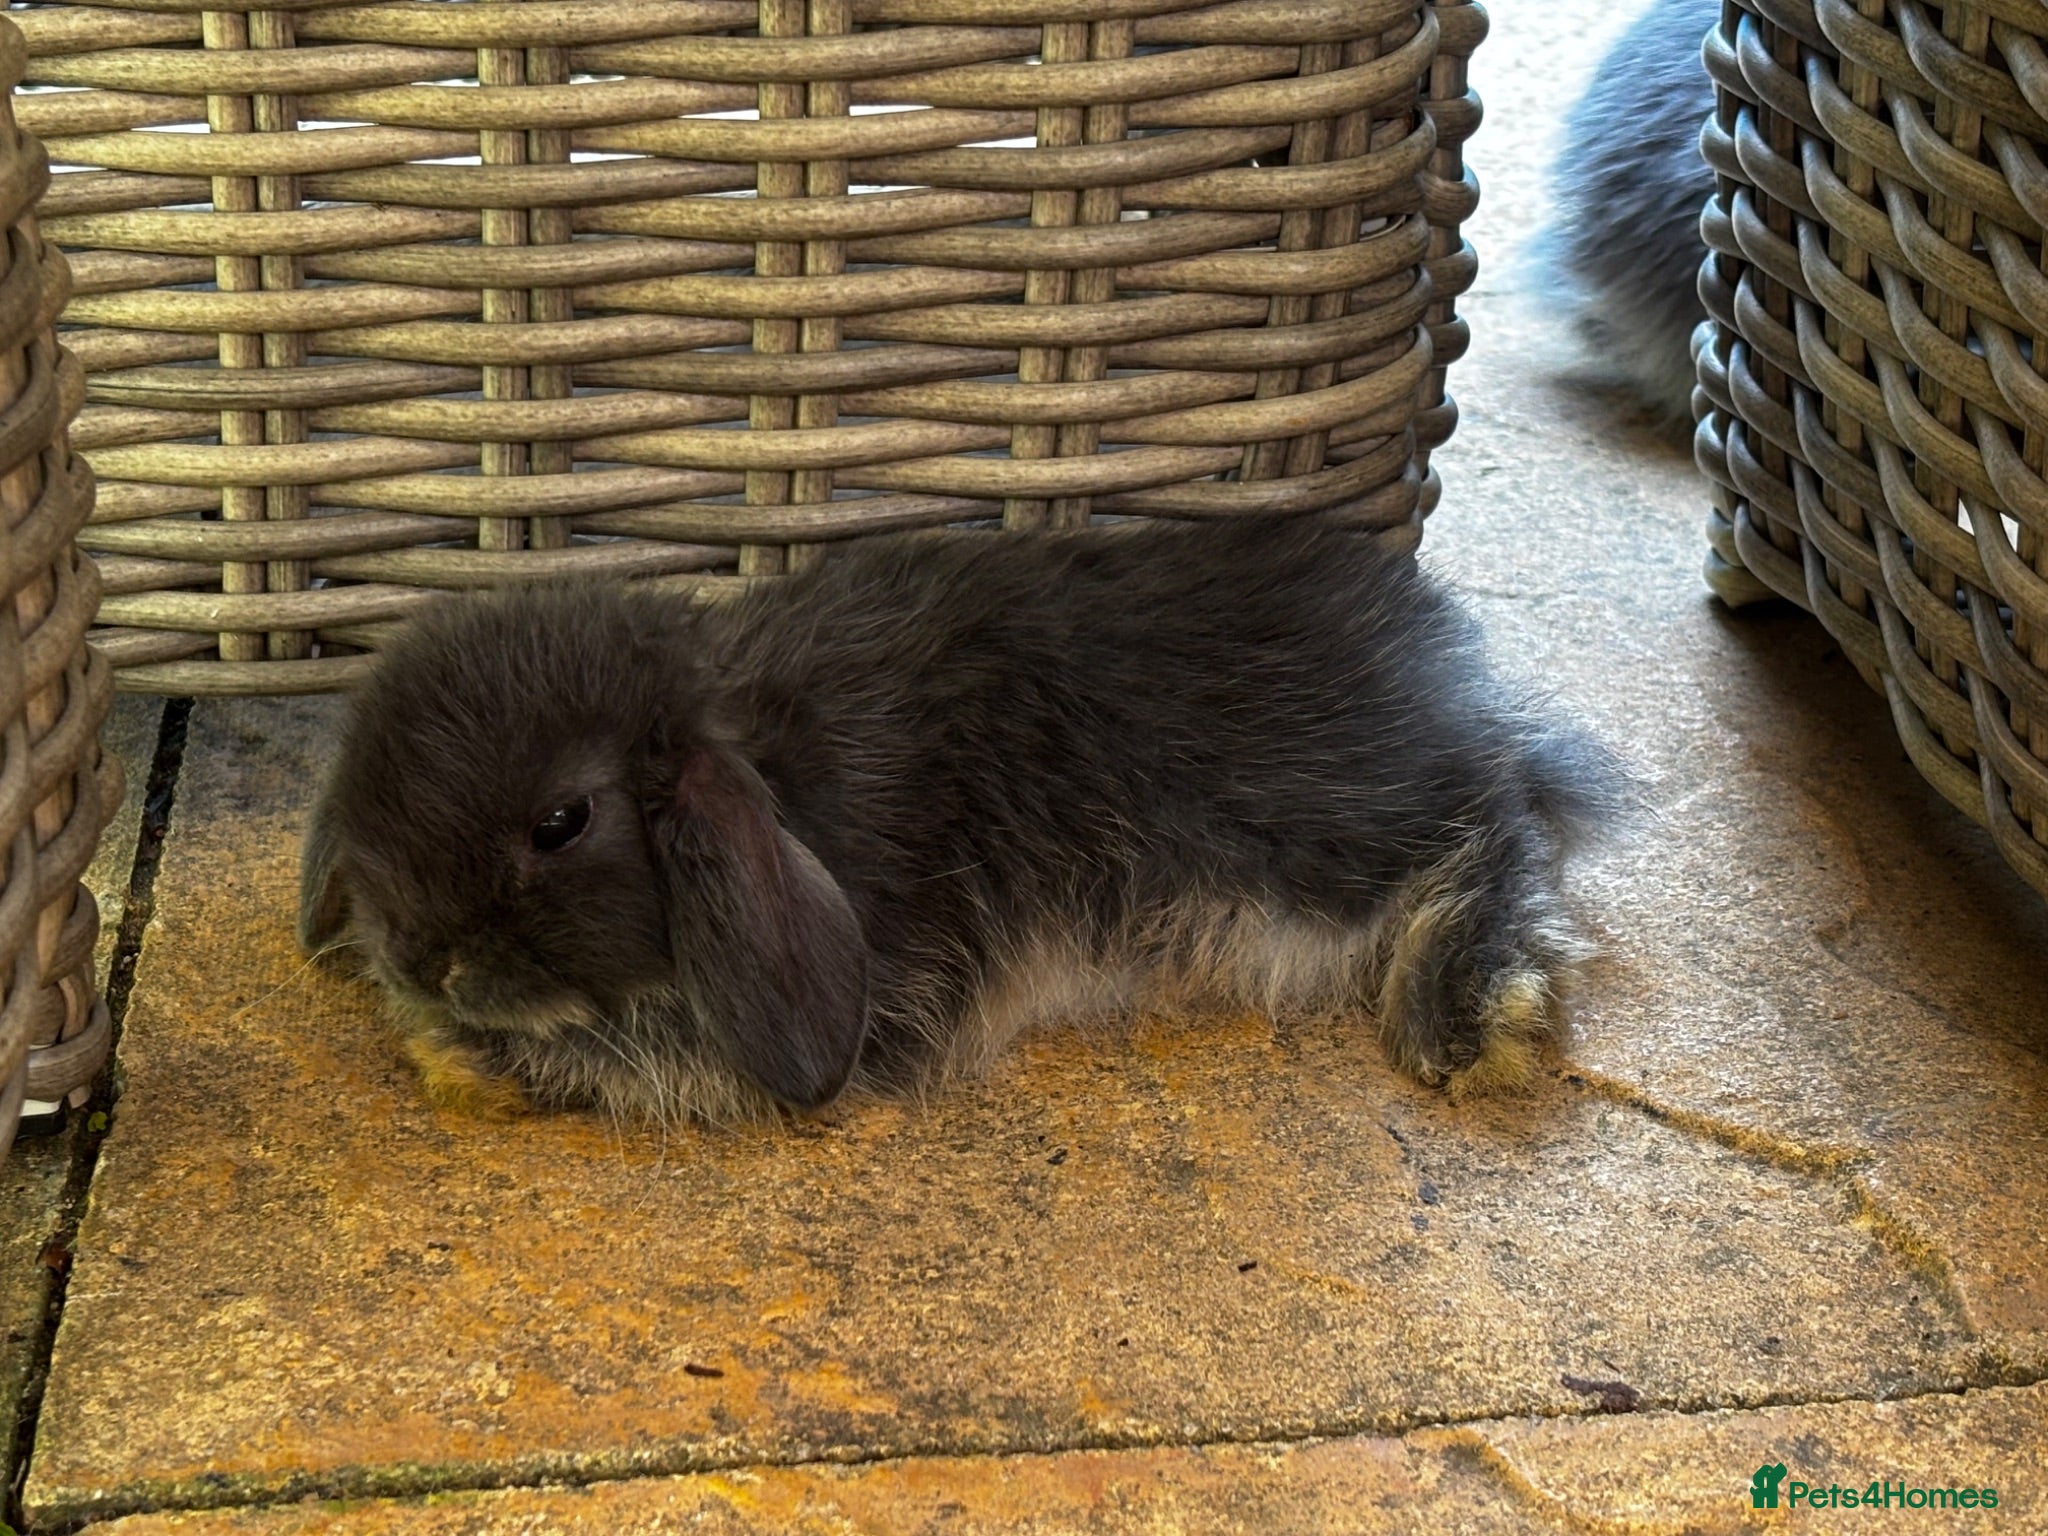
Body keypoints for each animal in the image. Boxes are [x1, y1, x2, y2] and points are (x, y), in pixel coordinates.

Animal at [299, 518, 1630, 1126]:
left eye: (562, 821)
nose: (417, 956)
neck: (772, 766)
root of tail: (1428, 664)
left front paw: (447, 1046)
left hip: (1313, 829)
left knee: (1495, 814)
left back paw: (1468, 1011)